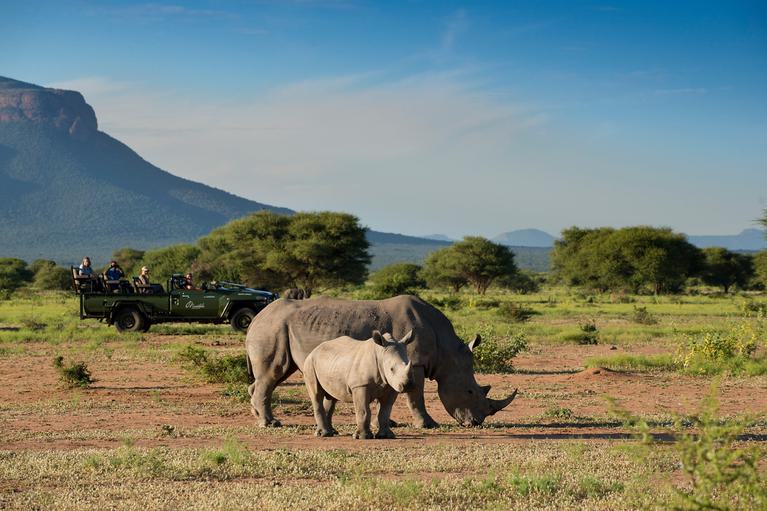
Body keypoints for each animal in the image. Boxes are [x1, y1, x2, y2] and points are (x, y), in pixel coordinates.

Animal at [245, 295, 517, 428]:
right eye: (470, 391)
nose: (477, 423)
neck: (447, 352)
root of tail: (257, 317)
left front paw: (386, 422)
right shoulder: (415, 363)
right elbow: (415, 396)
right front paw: (428, 425)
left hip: (276, 328)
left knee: (274, 375)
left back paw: (259, 417)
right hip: (272, 328)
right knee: (272, 374)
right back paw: (270, 424)